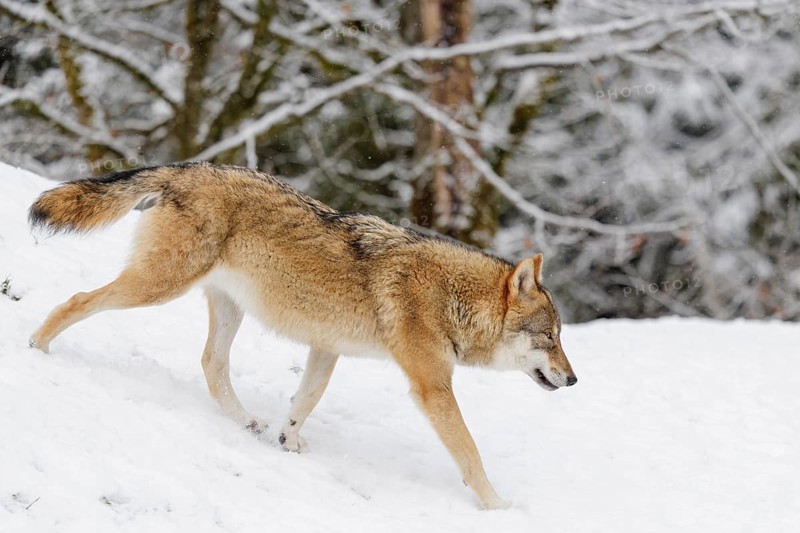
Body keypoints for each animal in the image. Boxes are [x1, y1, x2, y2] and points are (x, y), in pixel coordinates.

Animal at [28, 162, 577, 509]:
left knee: (211, 364)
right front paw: (498, 506)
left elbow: (305, 401)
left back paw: (247, 422)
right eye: (550, 337)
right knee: (77, 299)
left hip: (225, 308)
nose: (573, 380)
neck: (451, 297)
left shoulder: (326, 349)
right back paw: (37, 348)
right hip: (159, 287)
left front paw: (286, 441)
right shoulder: (432, 387)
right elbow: (470, 452)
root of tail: (187, 167)